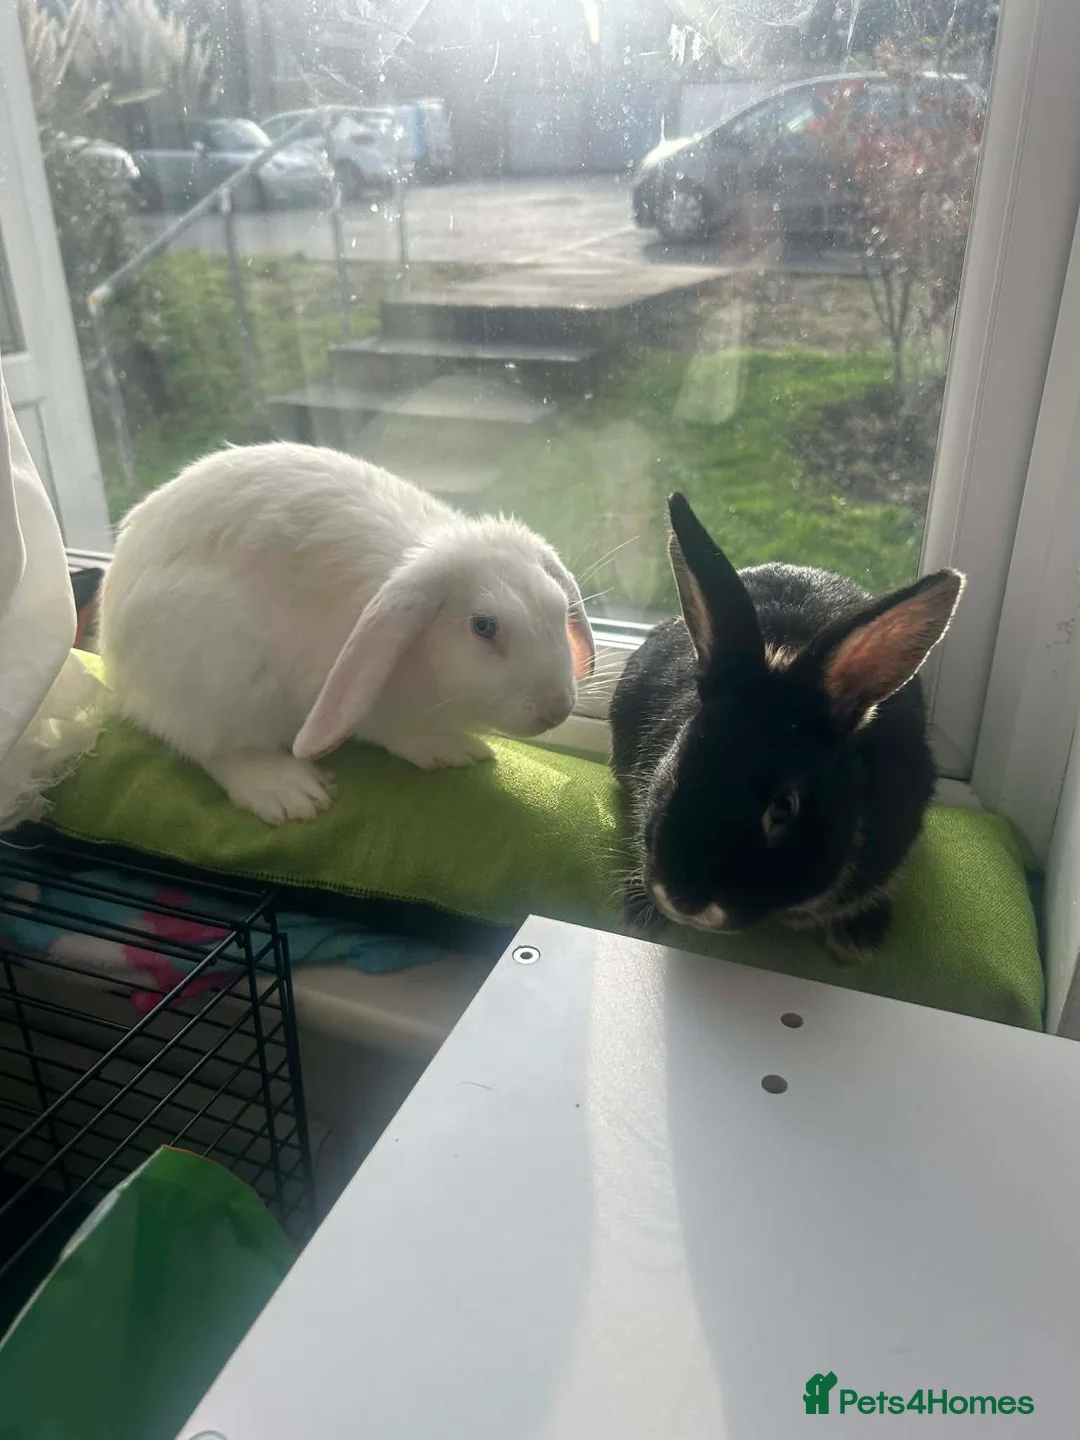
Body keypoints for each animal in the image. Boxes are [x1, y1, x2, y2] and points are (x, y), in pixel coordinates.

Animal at [100, 442, 595, 824]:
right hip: (219, 677)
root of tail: (115, 668)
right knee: (209, 746)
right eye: (484, 627)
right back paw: (289, 791)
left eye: (558, 607)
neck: (426, 664)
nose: (557, 708)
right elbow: (399, 732)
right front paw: (450, 750)